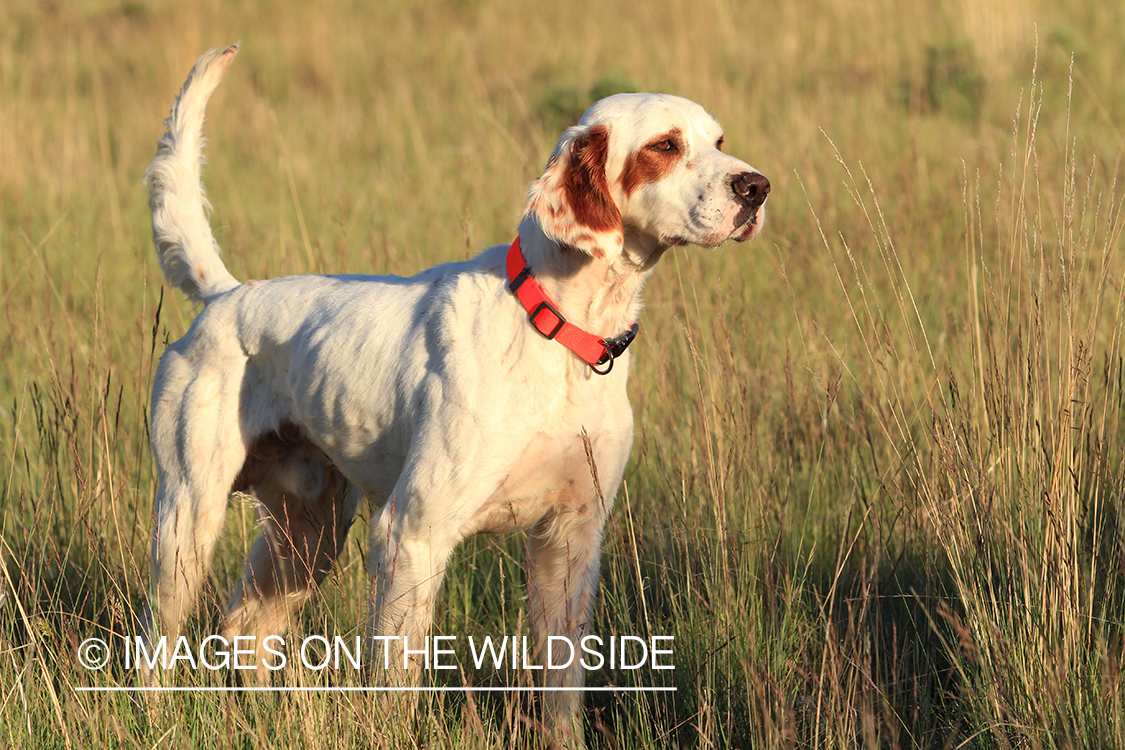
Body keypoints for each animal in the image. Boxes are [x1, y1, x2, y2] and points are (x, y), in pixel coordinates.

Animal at [142, 45, 765, 737]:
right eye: (664, 145)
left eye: (718, 141)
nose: (757, 187)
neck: (555, 331)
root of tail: (225, 295)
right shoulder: (411, 533)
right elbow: (397, 681)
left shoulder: (571, 537)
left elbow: (562, 689)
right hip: (189, 515)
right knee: (158, 641)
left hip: (310, 526)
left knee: (246, 625)